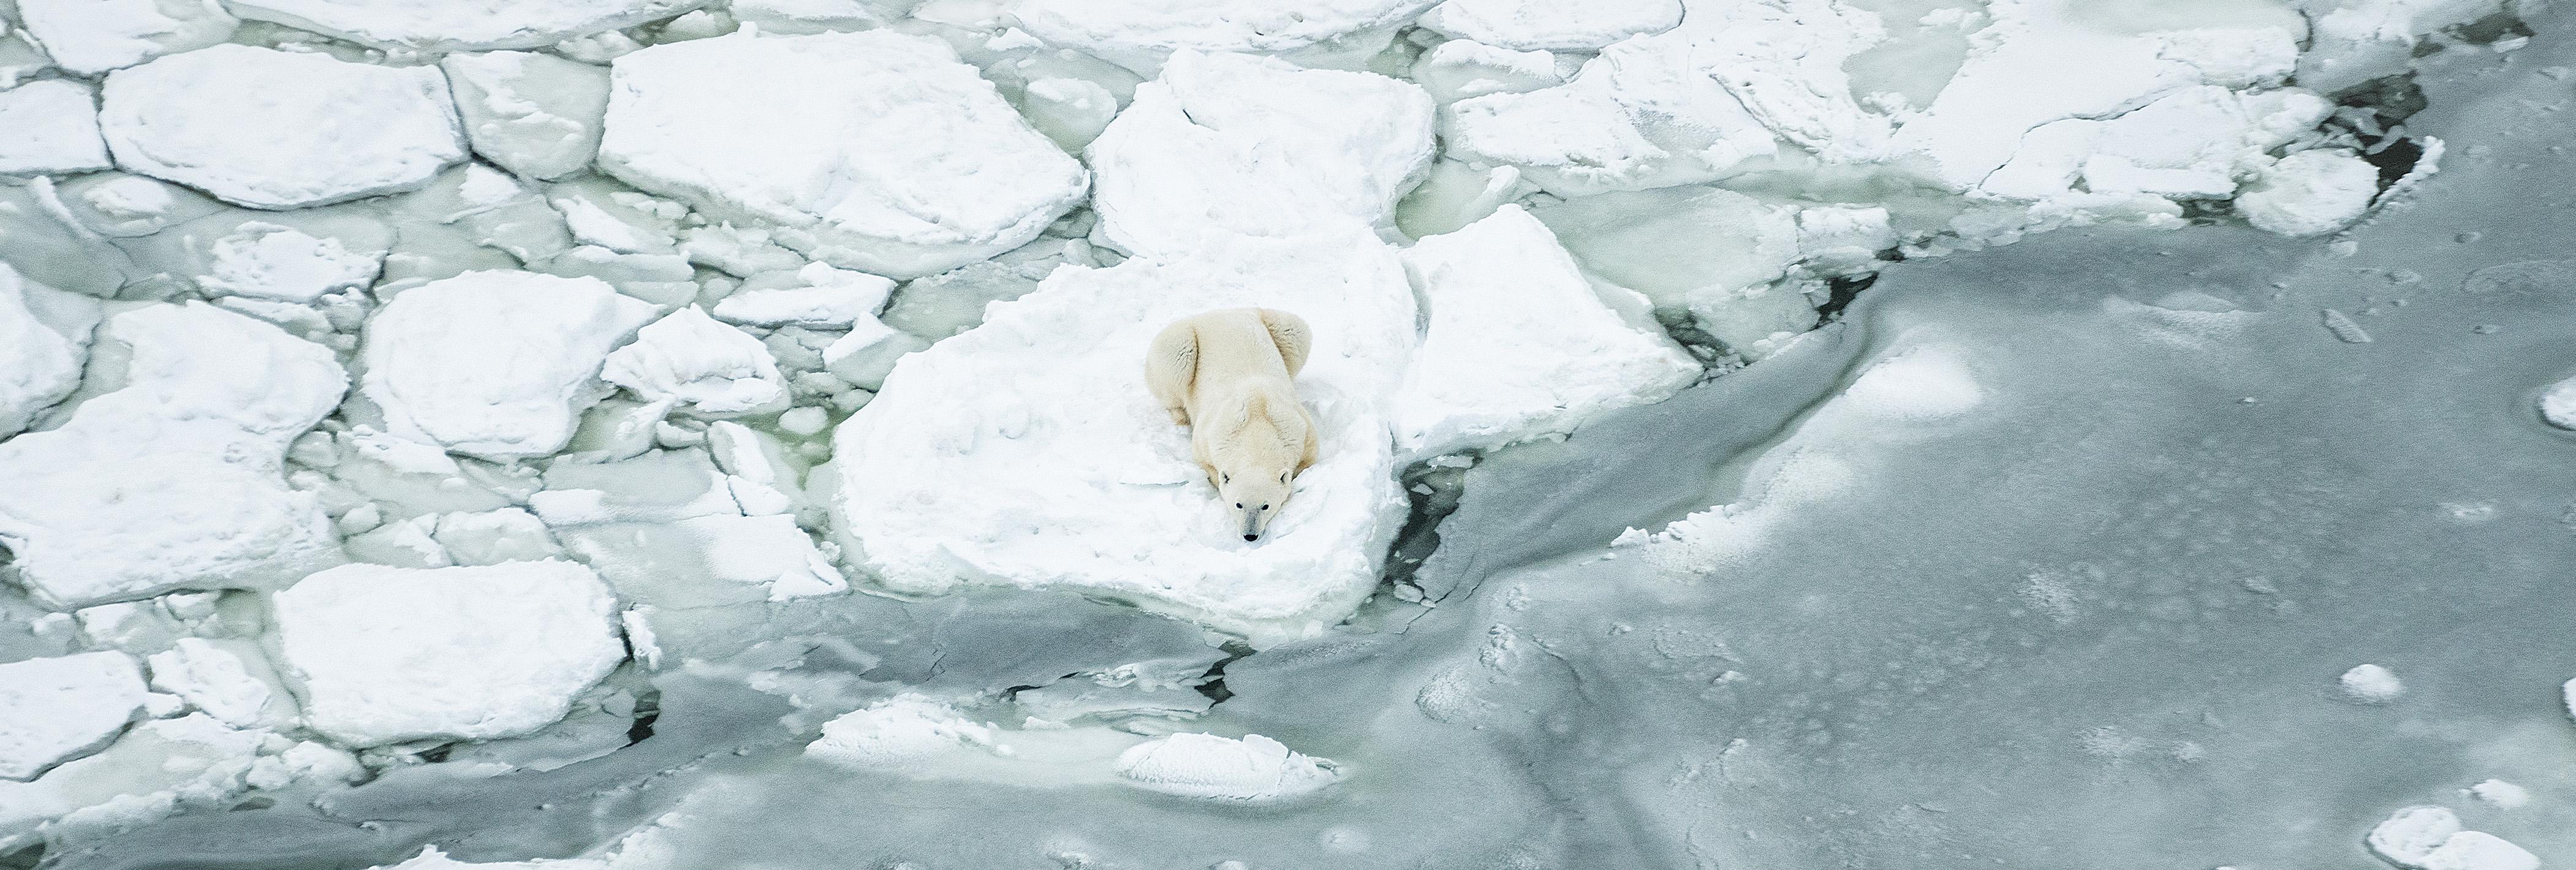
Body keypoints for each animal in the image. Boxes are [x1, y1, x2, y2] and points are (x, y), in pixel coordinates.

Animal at [1144, 307, 1318, 542]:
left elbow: (1308, 461)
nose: (1250, 535)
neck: (1257, 418)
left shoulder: (1299, 428)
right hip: (1180, 343)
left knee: (1295, 333)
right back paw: (1180, 416)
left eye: (1265, 506)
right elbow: (1207, 464)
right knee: (1174, 366)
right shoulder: (1211, 434)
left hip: (1278, 326)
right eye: (1239, 504)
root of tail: (1218, 312)